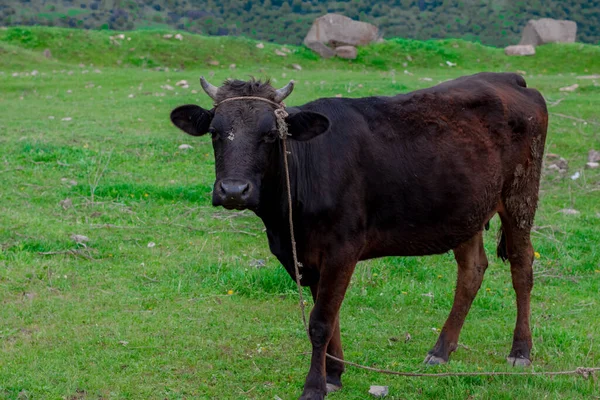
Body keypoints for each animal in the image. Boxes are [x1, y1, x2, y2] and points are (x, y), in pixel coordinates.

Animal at [169, 72, 548, 400]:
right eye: (215, 132)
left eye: (271, 135)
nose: (234, 191)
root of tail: (508, 78)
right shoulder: (302, 255)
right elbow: (329, 315)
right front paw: (334, 374)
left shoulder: (342, 248)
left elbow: (320, 321)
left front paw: (314, 387)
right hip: (466, 209)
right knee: (472, 271)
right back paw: (441, 350)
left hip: (520, 196)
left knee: (521, 268)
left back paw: (520, 350)